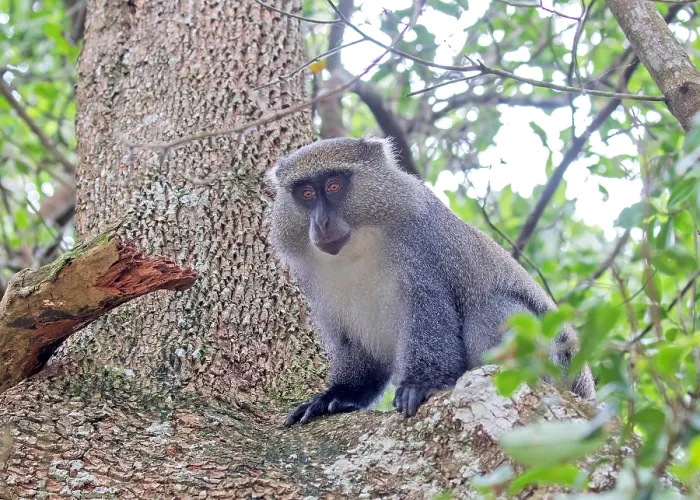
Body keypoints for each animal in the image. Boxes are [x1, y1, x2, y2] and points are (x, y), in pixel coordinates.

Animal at [266, 137, 595, 426]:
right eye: (306, 193)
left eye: (334, 185)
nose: (321, 222)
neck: (359, 246)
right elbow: (355, 346)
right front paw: (338, 396)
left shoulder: (419, 240)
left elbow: (429, 312)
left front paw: (420, 386)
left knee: (493, 307)